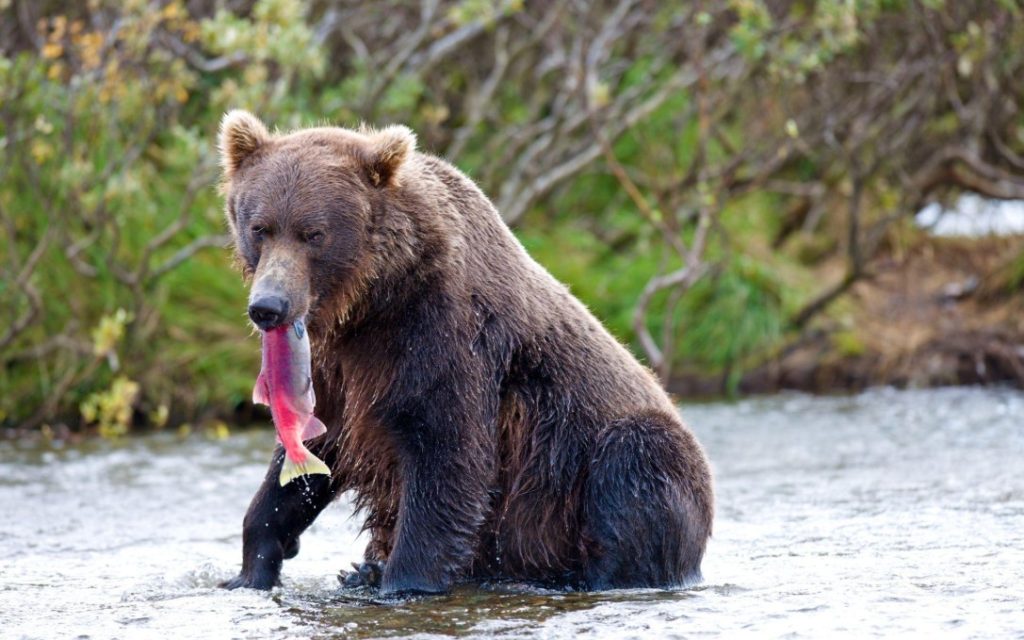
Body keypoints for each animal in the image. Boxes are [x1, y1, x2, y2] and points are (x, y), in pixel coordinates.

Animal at [216, 110, 714, 595]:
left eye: (314, 233)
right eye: (260, 228)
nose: (268, 306)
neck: (374, 302)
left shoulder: (447, 340)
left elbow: (448, 458)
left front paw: (405, 581)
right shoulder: (337, 369)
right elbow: (310, 455)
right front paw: (253, 563)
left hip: (605, 458)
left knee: (633, 465)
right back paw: (364, 570)